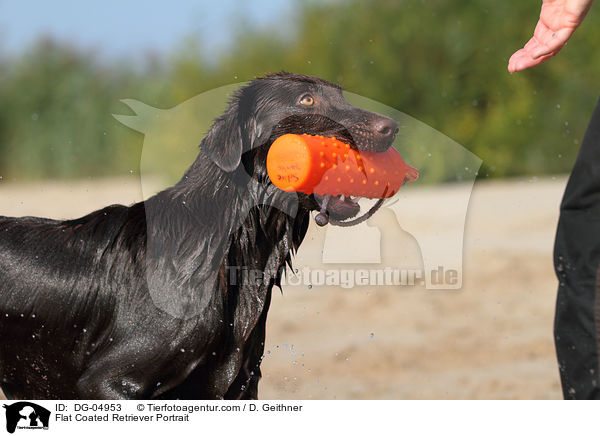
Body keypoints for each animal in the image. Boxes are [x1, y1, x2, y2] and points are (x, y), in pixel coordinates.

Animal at [0, 71, 398, 398]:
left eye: (341, 96)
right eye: (306, 100)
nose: (391, 127)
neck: (228, 247)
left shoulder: (240, 386)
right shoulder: (106, 383)